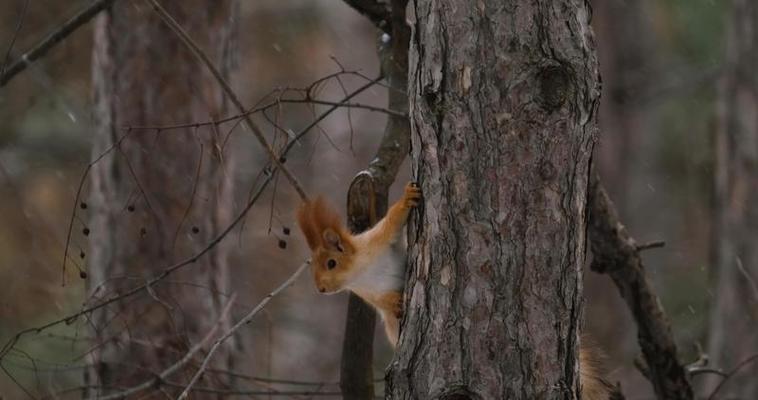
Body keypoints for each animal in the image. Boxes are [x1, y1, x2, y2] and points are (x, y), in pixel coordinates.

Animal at [296, 182, 612, 400]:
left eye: (331, 263)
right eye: (312, 268)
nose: (321, 289)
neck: (360, 272)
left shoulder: (377, 242)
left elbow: (392, 222)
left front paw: (406, 199)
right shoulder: (365, 293)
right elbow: (382, 303)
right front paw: (394, 301)